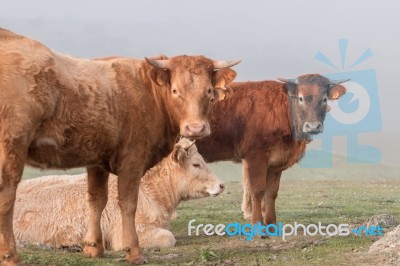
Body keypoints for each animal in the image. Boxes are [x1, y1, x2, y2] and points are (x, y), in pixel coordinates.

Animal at [196, 74, 346, 227]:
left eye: (324, 99)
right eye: (300, 98)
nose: (313, 126)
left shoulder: (275, 162)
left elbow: (271, 192)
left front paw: (270, 222)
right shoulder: (255, 157)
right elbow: (256, 189)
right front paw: (256, 221)